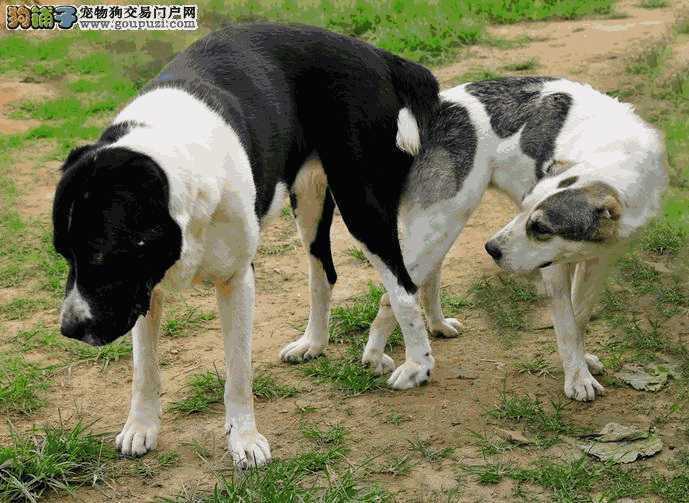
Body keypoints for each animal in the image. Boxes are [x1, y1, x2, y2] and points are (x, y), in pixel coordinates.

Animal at [56, 24, 438, 468]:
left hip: (362, 205)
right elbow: (144, 369)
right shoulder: (143, 289)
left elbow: (238, 371)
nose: (68, 329)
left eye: (102, 255)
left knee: (403, 287)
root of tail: (376, 54)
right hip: (309, 200)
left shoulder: (236, 281)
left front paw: (244, 439)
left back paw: (418, 365)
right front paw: (141, 427)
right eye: (64, 255)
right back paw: (313, 343)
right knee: (323, 272)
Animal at [352, 77, 664, 402]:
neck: (613, 154)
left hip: (440, 230)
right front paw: (578, 379)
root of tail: (435, 108)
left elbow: (579, 316)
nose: (490, 249)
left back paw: (437, 325)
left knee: (426, 281)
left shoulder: (599, 259)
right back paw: (388, 360)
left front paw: (581, 362)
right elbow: (566, 325)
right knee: (395, 295)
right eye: (524, 207)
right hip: (442, 223)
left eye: (541, 228)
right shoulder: (553, 268)